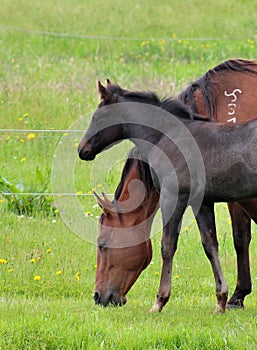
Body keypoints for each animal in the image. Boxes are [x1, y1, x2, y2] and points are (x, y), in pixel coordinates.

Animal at [76, 80, 257, 314]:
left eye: (103, 244)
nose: (82, 149)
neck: (166, 138)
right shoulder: (202, 203)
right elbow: (210, 245)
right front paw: (220, 301)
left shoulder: (173, 197)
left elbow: (167, 246)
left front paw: (159, 301)